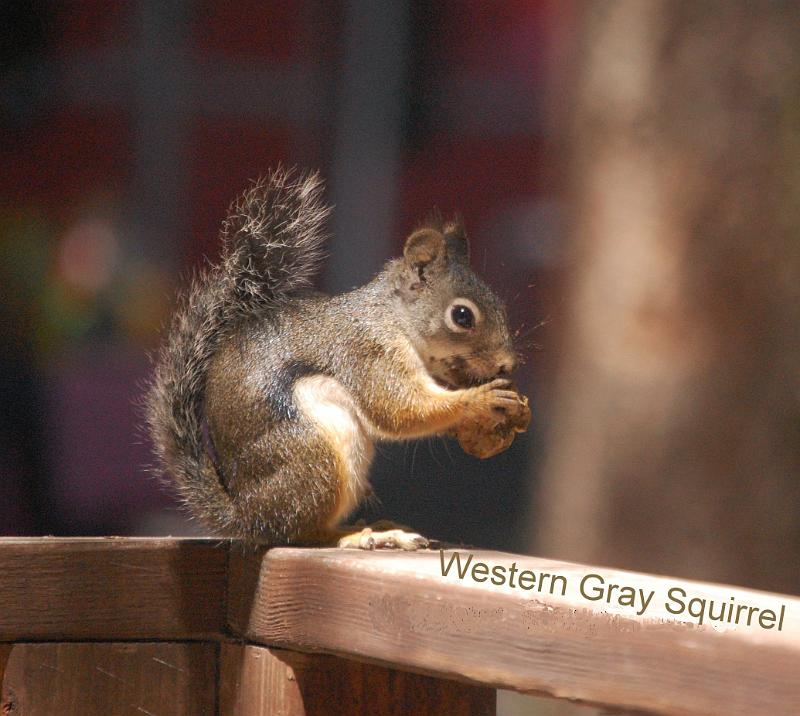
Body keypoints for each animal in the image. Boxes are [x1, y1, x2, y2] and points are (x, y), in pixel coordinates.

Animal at [145, 171, 532, 552]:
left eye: (499, 302)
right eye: (462, 316)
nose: (507, 365)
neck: (394, 318)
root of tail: (245, 514)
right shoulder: (369, 351)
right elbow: (399, 409)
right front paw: (481, 399)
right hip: (313, 458)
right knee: (301, 533)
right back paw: (364, 535)